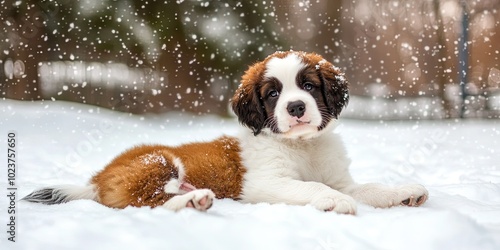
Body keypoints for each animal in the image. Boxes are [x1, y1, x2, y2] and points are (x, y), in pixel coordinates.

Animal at [23, 51, 428, 215]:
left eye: (309, 86)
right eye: (273, 94)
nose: (296, 108)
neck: (303, 146)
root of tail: (96, 179)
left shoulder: (340, 177)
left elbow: (368, 188)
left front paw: (403, 191)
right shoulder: (264, 182)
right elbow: (314, 187)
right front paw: (333, 200)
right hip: (159, 162)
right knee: (147, 201)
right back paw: (193, 201)